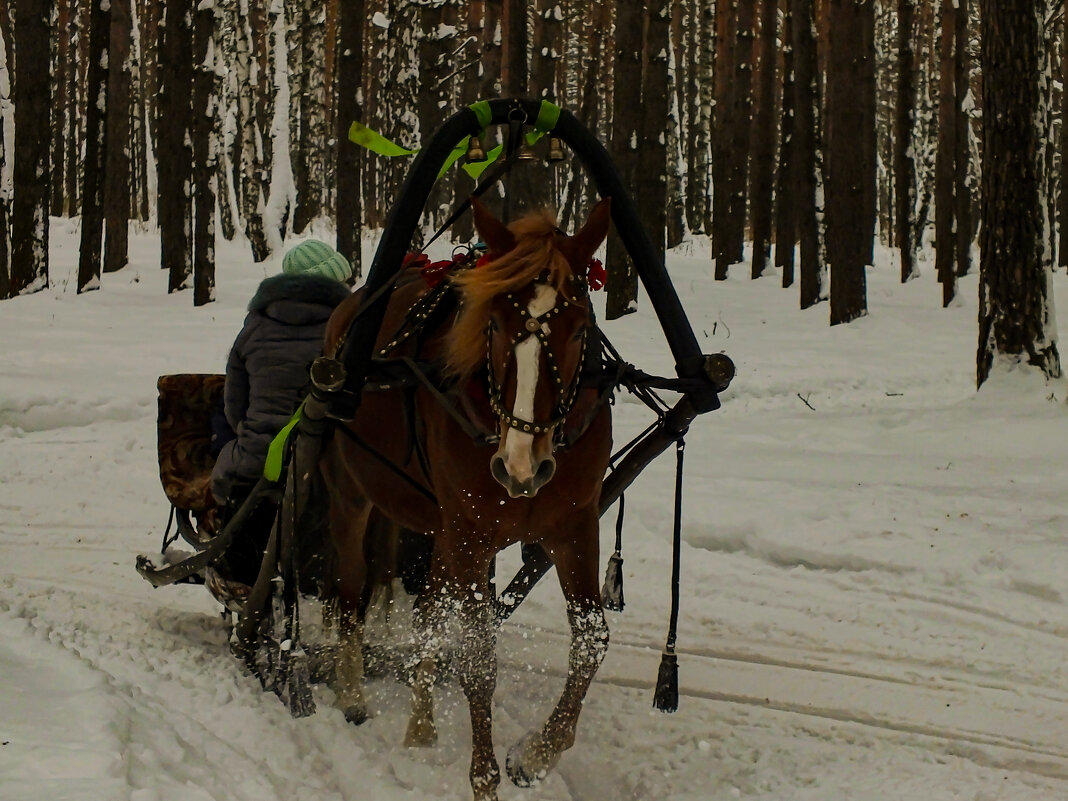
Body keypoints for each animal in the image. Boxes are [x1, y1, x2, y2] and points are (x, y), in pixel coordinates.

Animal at [316, 196, 615, 801]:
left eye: (579, 331)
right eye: (494, 325)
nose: (522, 465)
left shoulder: (574, 527)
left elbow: (592, 639)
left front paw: (539, 752)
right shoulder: (475, 534)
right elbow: (478, 658)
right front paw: (484, 778)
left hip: (441, 527)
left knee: (428, 614)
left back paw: (421, 725)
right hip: (352, 494)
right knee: (351, 589)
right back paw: (354, 692)